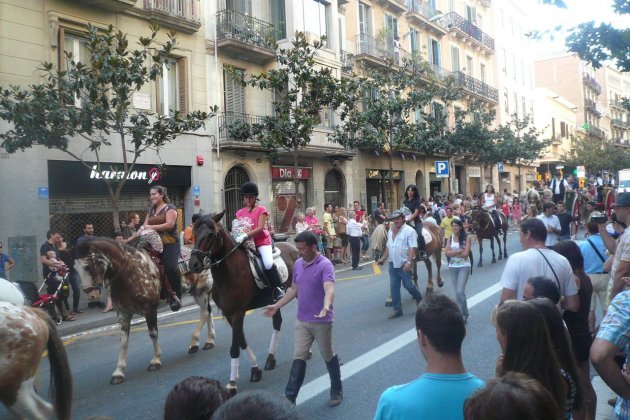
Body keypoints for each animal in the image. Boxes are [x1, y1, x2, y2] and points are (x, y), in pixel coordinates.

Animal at [73, 236, 216, 384]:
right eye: (74, 268)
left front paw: (155, 360)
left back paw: (194, 343)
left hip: (202, 291)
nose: (91, 295)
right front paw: (119, 372)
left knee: (205, 313)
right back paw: (209, 341)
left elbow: (153, 334)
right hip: (197, 293)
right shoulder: (123, 313)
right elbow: (123, 341)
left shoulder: (150, 310)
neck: (130, 273)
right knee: (208, 312)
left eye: (87, 266)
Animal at [189, 212, 300, 396]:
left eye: (211, 234)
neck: (229, 272)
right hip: (274, 302)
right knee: (277, 323)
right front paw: (255, 370)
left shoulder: (238, 313)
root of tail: (293, 247)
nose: (193, 264)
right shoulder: (229, 314)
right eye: (194, 233)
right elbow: (241, 341)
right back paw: (270, 359)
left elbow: (235, 347)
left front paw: (232, 383)